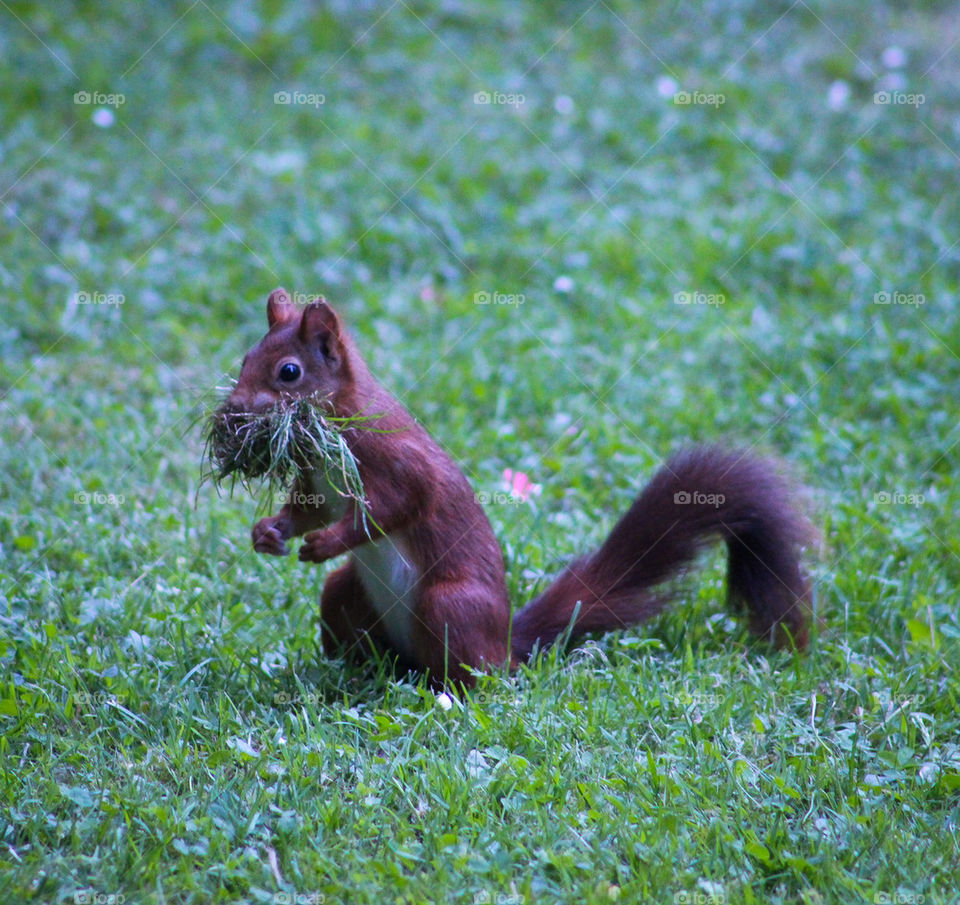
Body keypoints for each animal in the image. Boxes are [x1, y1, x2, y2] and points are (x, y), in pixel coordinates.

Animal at [223, 288, 814, 689]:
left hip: (450, 604)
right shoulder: (318, 481)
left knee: (478, 674)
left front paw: (327, 543)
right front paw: (269, 533)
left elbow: (393, 509)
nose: (233, 410)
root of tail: (507, 643)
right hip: (348, 595)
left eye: (289, 372)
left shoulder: (398, 464)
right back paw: (355, 675)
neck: (337, 423)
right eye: (245, 360)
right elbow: (309, 509)